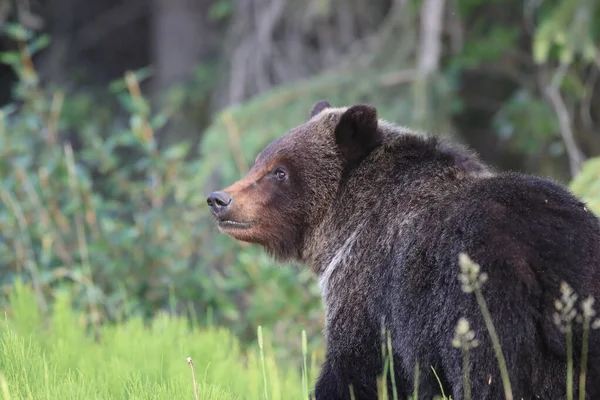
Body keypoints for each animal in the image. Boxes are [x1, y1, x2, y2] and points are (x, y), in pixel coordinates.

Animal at [207, 101, 600, 400]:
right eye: (259, 161)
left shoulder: (368, 288)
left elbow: (354, 369)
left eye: (280, 171)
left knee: (489, 377)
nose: (219, 199)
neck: (347, 224)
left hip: (483, 306)